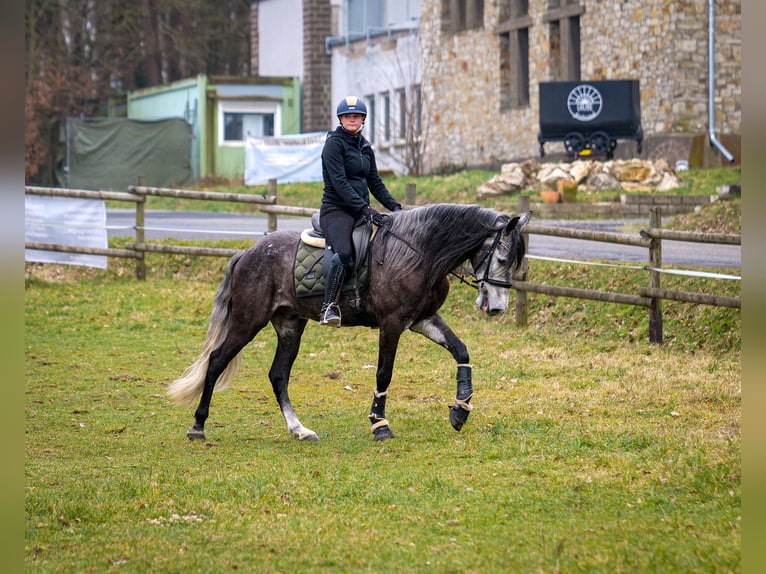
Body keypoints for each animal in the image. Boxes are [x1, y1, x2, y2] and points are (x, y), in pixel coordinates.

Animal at [168, 205, 532, 444]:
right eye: (501, 258)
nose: (497, 308)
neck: (417, 252)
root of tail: (247, 253)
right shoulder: (392, 323)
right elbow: (384, 373)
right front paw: (379, 424)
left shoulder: (422, 320)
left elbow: (460, 351)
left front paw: (460, 410)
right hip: (248, 321)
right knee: (217, 360)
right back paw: (198, 426)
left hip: (289, 326)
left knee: (278, 375)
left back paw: (299, 430)